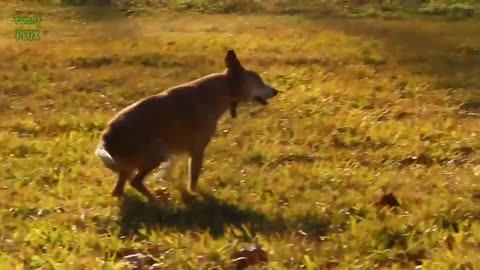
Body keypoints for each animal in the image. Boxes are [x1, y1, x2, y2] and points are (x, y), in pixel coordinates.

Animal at [94, 50, 278, 202]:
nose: (276, 91)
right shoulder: (197, 150)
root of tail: (107, 138)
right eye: (259, 81)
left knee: (120, 188)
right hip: (159, 151)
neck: (223, 88)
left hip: (137, 162)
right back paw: (157, 202)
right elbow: (193, 179)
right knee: (135, 181)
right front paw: (195, 195)